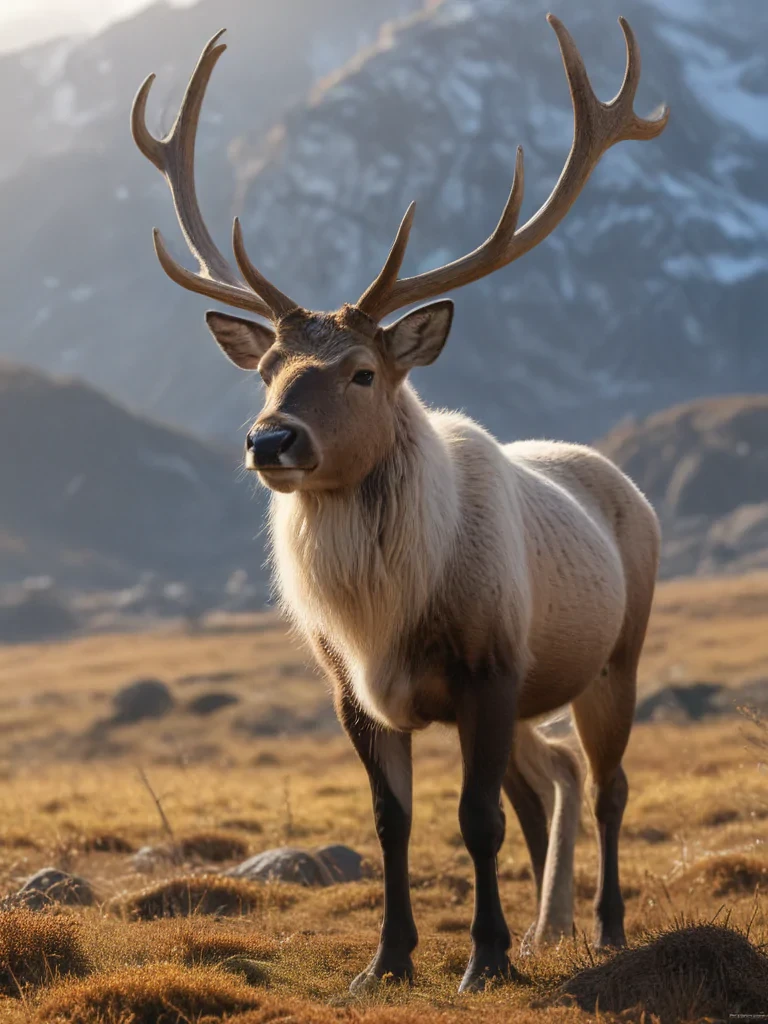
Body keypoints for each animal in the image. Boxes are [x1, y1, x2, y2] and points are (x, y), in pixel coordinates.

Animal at [132, 14, 667, 993]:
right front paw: (388, 961)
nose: (270, 442)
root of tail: (625, 487)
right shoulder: (352, 690)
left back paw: (604, 929)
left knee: (606, 783)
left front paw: (483, 959)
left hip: (616, 655)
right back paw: (550, 931)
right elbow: (395, 824)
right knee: (550, 780)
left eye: (362, 371)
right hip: (538, 691)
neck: (384, 615)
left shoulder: (490, 663)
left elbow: (474, 820)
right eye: (268, 369)